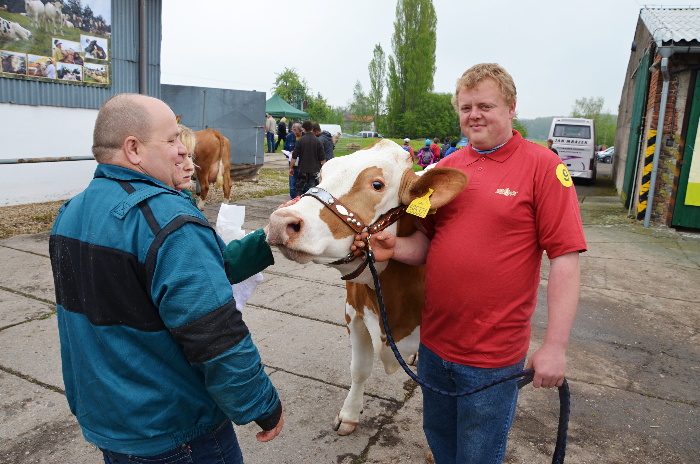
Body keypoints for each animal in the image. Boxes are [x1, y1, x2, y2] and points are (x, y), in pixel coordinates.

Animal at [266, 139, 468, 436]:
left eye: (377, 184)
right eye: (321, 175)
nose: (281, 222)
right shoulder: (354, 314)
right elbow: (359, 369)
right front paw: (349, 414)